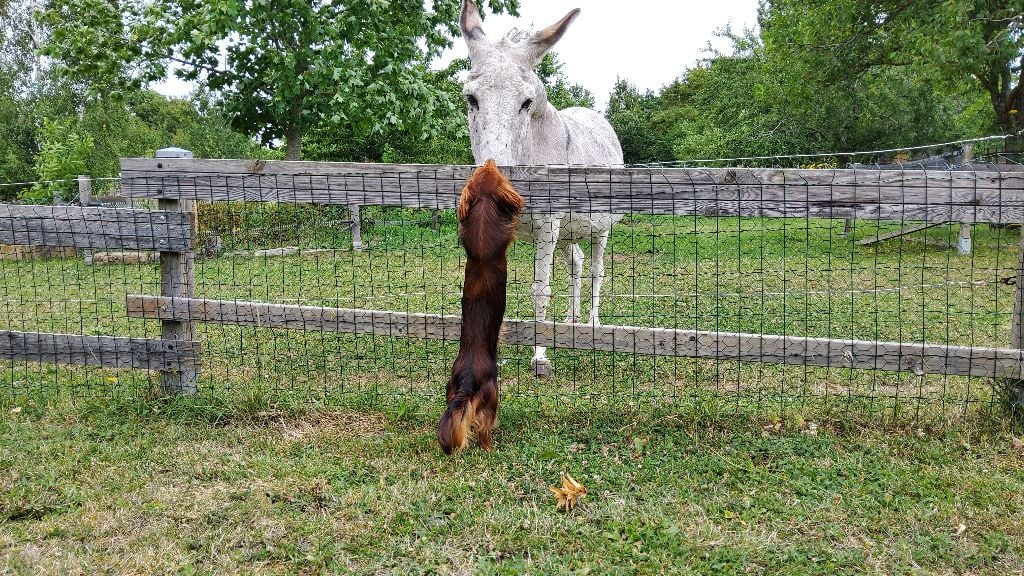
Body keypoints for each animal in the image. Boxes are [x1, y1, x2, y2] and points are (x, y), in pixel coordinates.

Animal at [438, 157, 524, 453]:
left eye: (479, 173)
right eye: (493, 172)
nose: (490, 159)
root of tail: (467, 381)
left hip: (450, 387)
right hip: (493, 394)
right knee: (484, 427)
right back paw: (490, 448)